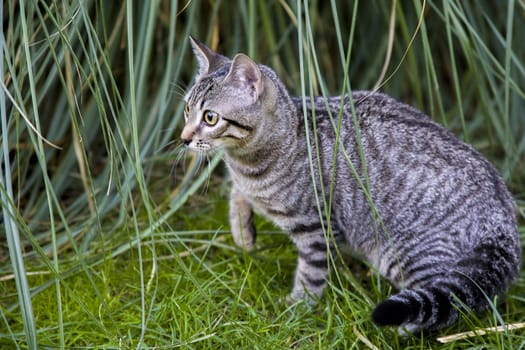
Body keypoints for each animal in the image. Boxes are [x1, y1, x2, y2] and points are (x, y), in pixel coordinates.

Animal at [180, 37, 520, 332]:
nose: (183, 138)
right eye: (186, 109)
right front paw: (243, 232)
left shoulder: (315, 226)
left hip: (406, 252)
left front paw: (296, 308)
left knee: (451, 301)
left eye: (210, 118)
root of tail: (503, 214)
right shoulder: (248, 185)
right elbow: (237, 194)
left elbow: (311, 274)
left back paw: (407, 328)